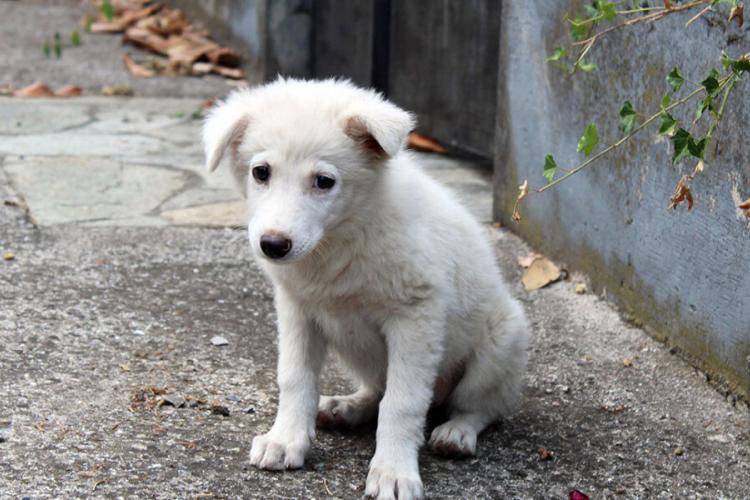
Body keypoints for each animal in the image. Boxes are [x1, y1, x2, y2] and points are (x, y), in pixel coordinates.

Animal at [203, 79, 532, 500]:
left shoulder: (416, 317)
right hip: (360, 352)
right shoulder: (297, 310)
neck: (342, 236)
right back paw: (348, 407)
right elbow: (295, 378)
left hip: (501, 342)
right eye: (261, 172)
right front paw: (286, 438)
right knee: (376, 389)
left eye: (324, 181)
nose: (273, 245)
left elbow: (402, 402)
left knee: (482, 406)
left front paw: (393, 470)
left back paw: (457, 432)